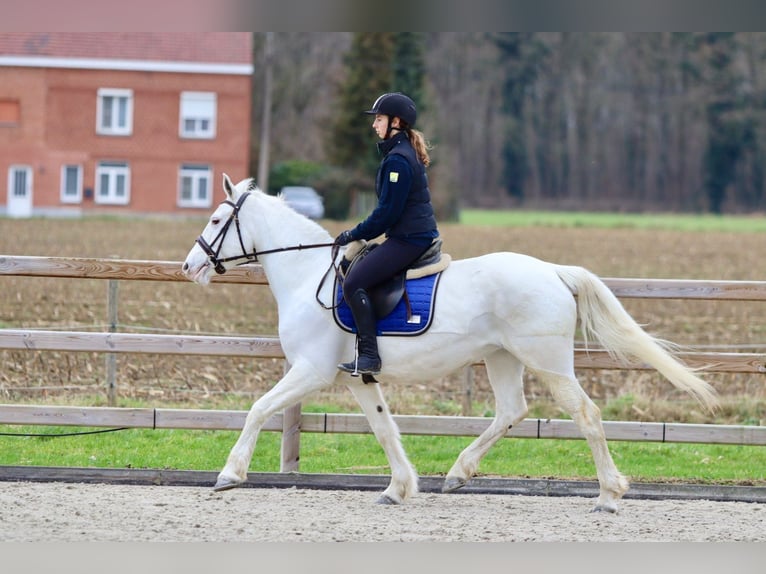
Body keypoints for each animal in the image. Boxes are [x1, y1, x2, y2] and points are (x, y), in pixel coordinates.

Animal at [182, 174, 720, 512]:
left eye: (215, 221)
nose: (191, 265)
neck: (306, 273)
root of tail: (553, 271)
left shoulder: (310, 371)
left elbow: (258, 409)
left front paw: (230, 474)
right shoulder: (356, 379)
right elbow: (384, 429)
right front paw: (399, 488)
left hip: (547, 362)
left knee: (585, 415)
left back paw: (608, 495)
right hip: (502, 359)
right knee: (511, 411)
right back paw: (459, 472)